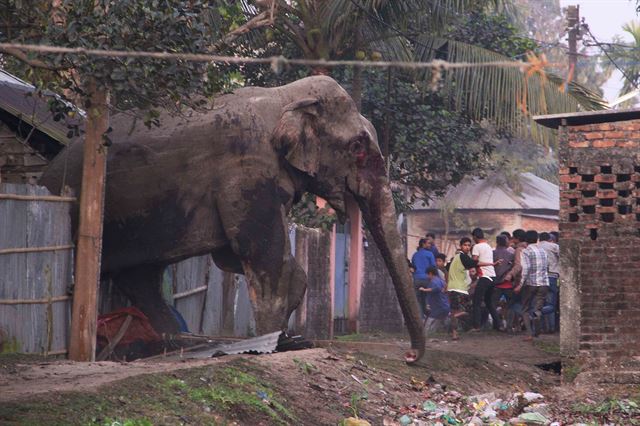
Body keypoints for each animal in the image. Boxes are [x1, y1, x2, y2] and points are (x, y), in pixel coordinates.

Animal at [42, 75, 428, 362]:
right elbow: (259, 252)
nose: (409, 356)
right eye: (358, 147)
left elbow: (237, 256)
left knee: (141, 277)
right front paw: (277, 342)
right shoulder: (246, 170)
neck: (284, 96)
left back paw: (180, 343)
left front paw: (285, 338)